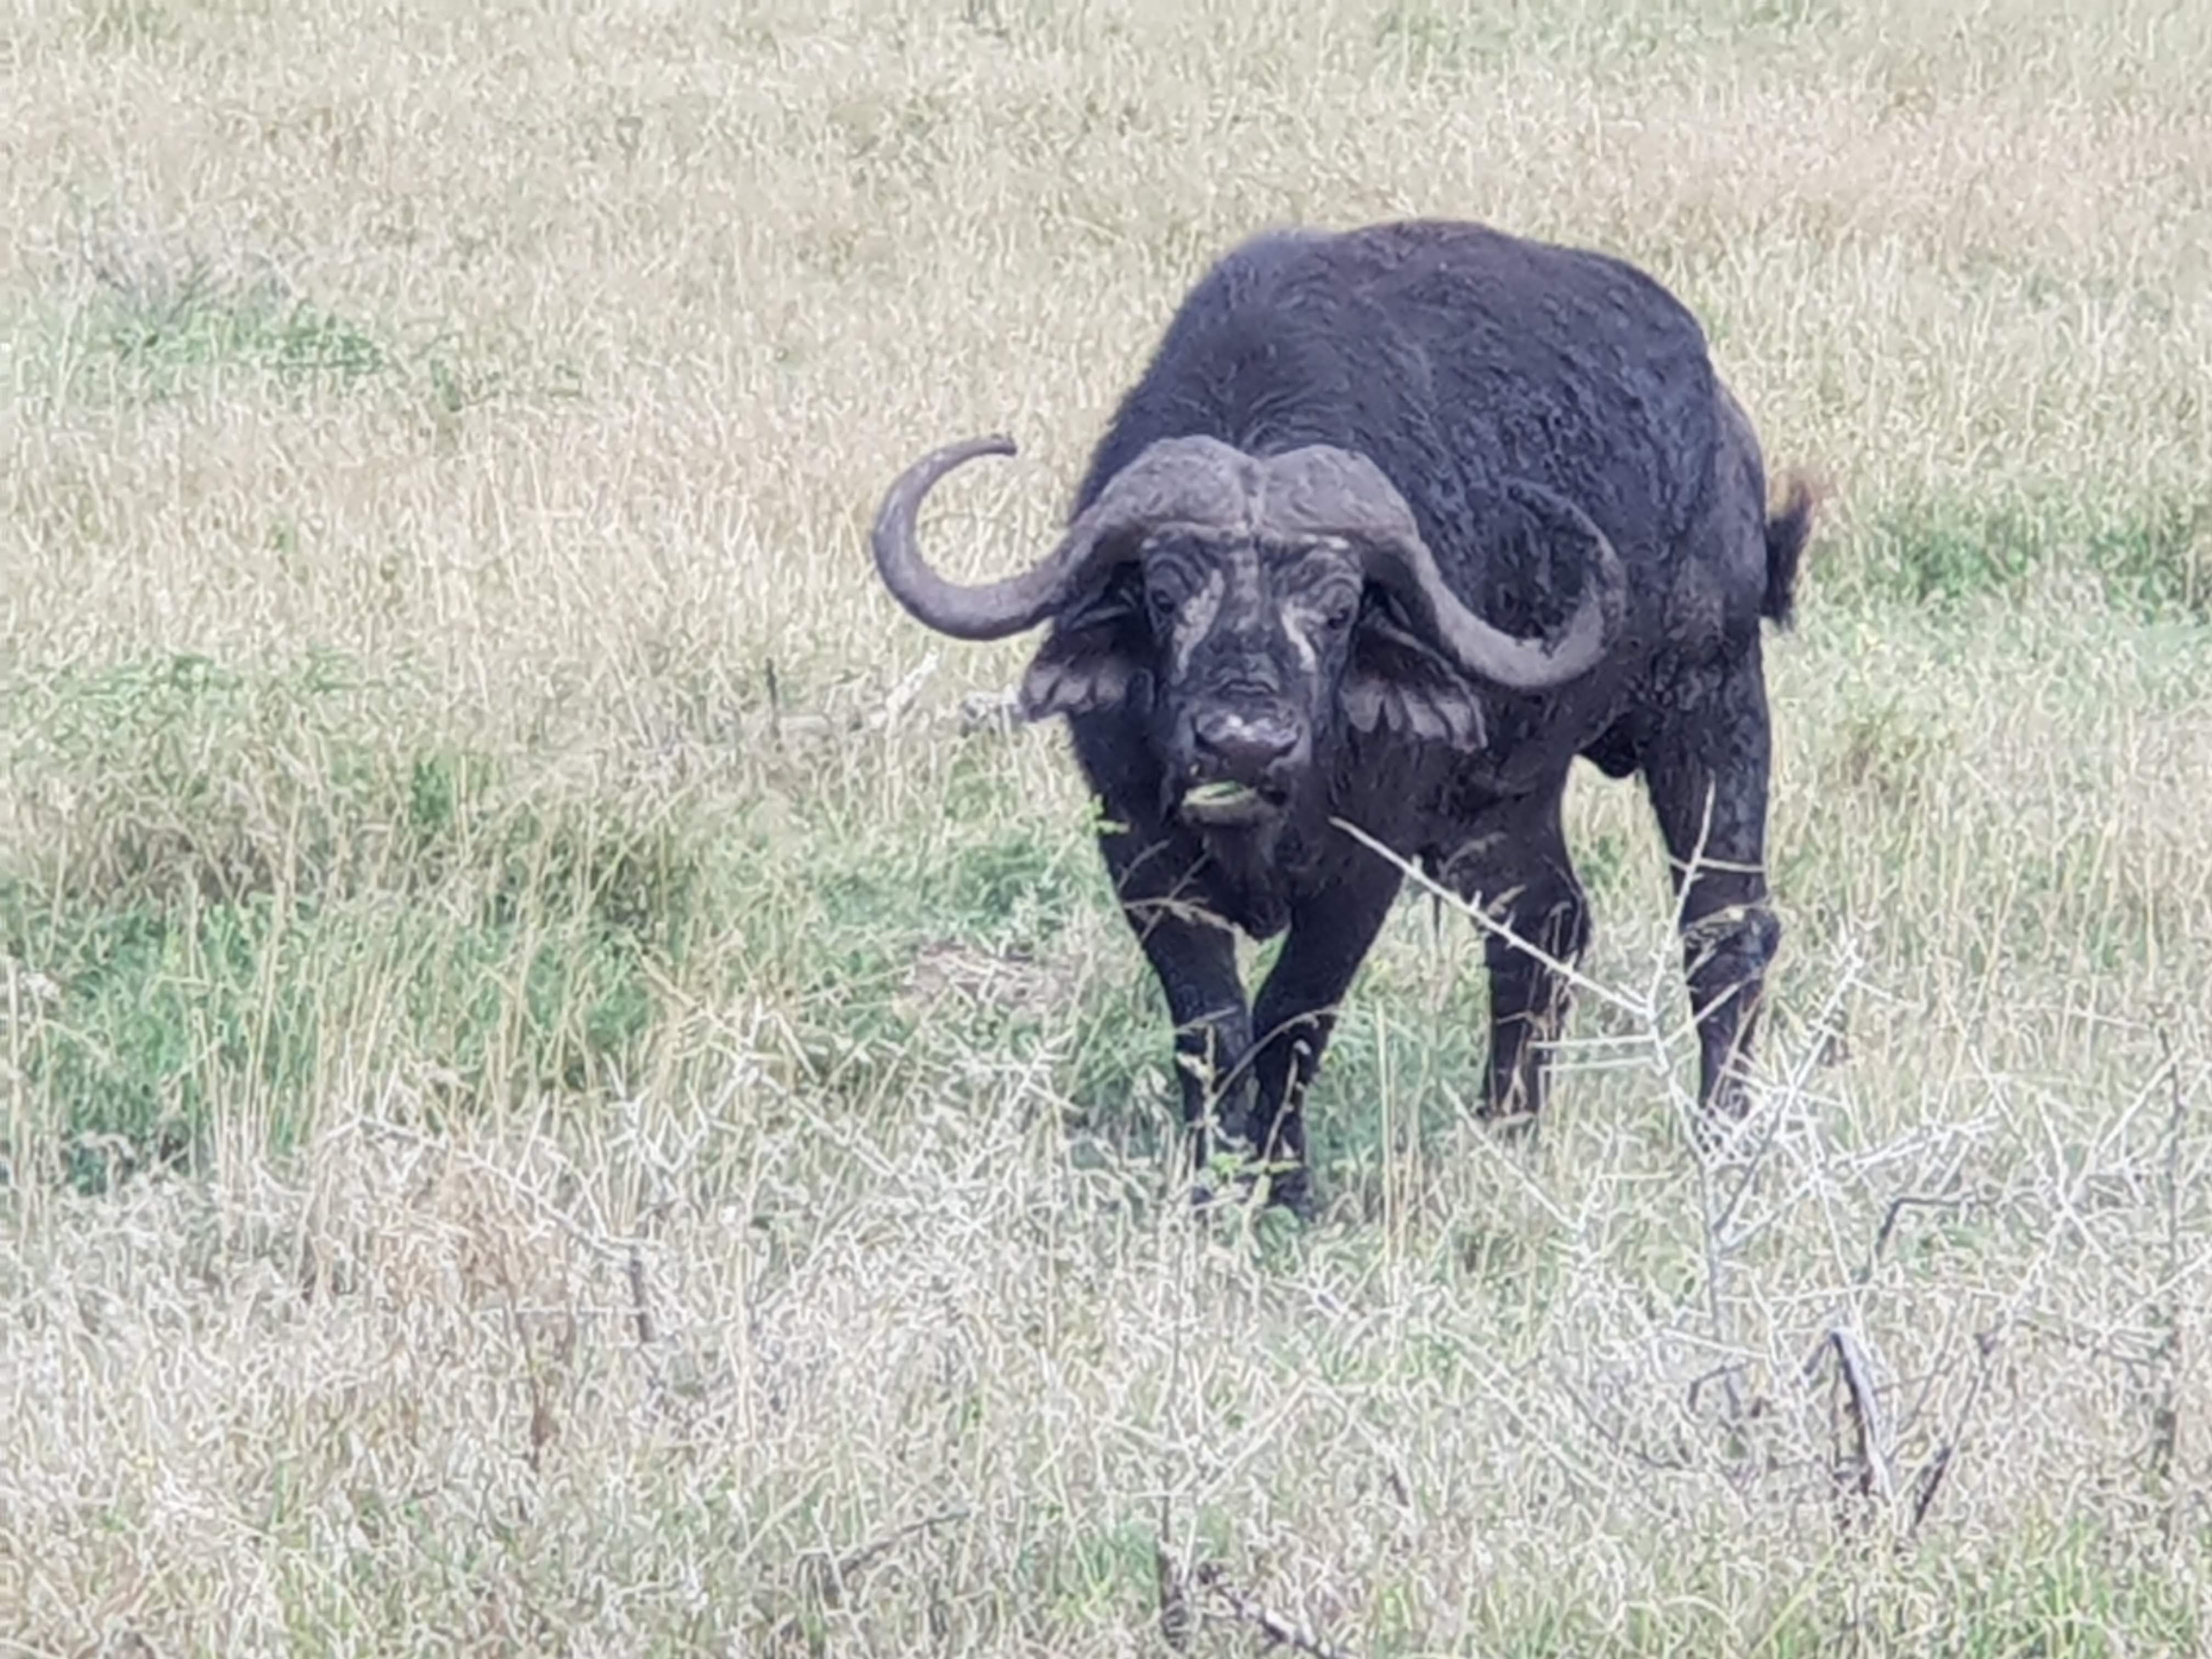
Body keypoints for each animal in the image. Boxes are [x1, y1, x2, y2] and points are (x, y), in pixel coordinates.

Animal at [869, 218, 1815, 1213]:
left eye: (1335, 608)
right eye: (1165, 595)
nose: (1243, 745)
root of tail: (1727, 430)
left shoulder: (1367, 858)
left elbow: (1292, 1011)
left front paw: (1285, 1186)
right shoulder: (1136, 846)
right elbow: (1208, 1022)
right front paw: (1212, 1184)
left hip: (1712, 700)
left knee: (1723, 927)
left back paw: (1722, 1140)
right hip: (1504, 792)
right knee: (1542, 924)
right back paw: (1505, 1131)